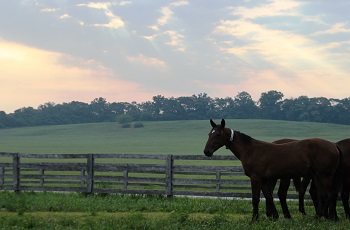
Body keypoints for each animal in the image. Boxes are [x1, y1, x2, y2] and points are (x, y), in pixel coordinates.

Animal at [204, 119, 340, 220]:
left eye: (218, 134)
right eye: (209, 134)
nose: (207, 151)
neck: (251, 150)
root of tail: (334, 146)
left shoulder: (256, 178)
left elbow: (256, 199)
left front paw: (254, 219)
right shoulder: (264, 180)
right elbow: (269, 197)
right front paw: (274, 216)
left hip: (325, 176)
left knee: (329, 194)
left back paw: (329, 217)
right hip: (317, 177)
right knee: (322, 195)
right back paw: (319, 217)